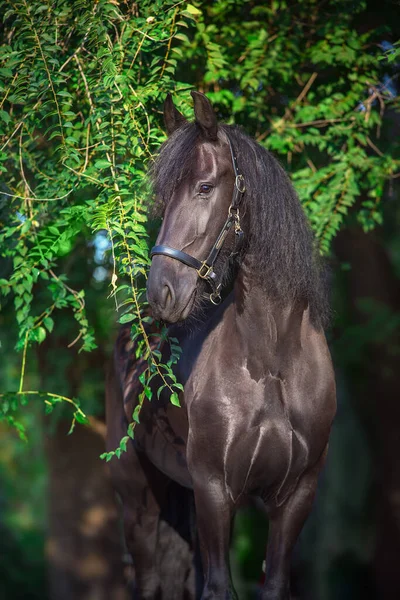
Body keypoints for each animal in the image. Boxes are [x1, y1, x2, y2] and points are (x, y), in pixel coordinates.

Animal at [105, 91, 334, 596]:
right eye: (163, 195)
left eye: (205, 187)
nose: (161, 292)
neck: (272, 362)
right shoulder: (214, 490)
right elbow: (217, 587)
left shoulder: (296, 498)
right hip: (139, 501)